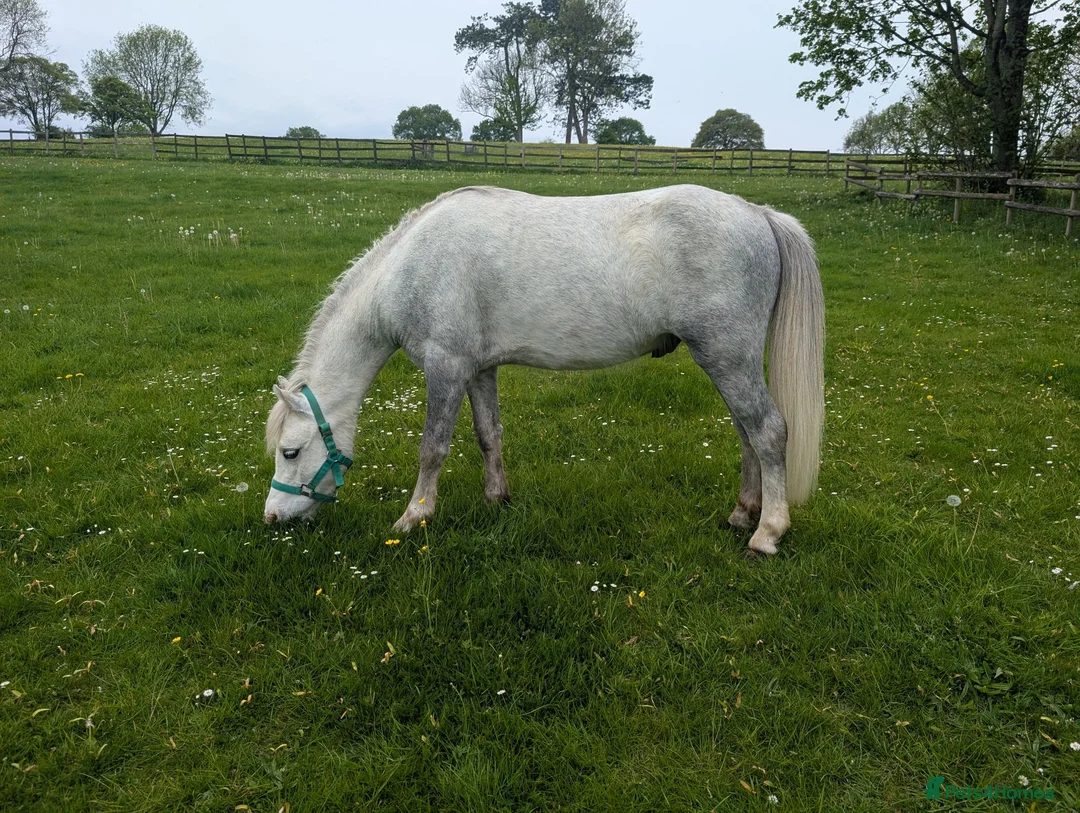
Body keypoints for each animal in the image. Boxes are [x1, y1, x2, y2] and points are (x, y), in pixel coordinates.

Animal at [263, 183, 824, 556]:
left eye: (291, 451)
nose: (272, 517)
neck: (408, 269)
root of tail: (757, 213)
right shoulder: (478, 369)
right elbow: (488, 434)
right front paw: (497, 499)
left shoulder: (446, 367)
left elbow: (433, 448)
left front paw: (414, 516)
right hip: (729, 361)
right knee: (747, 434)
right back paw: (742, 514)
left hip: (726, 356)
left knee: (768, 432)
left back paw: (767, 533)